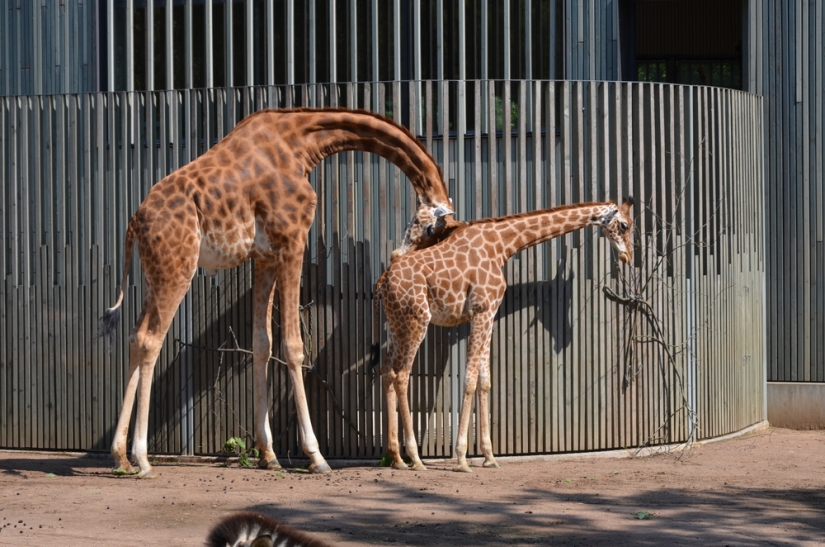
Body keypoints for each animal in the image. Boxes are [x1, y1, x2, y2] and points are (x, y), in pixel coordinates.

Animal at [95, 108, 455, 478]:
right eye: (432, 228)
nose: (399, 259)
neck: (301, 143)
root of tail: (135, 222)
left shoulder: (265, 256)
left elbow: (262, 344)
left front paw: (268, 454)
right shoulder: (293, 239)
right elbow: (294, 347)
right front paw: (316, 456)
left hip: (155, 274)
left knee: (135, 337)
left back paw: (120, 457)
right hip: (177, 268)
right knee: (150, 340)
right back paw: (142, 459)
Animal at [373, 198, 634, 472]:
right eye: (624, 225)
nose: (628, 256)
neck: (501, 245)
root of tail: (382, 282)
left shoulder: (489, 314)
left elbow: (484, 381)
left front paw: (489, 456)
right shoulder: (482, 310)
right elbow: (469, 380)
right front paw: (462, 458)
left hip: (397, 323)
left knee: (387, 371)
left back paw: (396, 458)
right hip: (417, 321)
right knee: (401, 374)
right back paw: (415, 458)